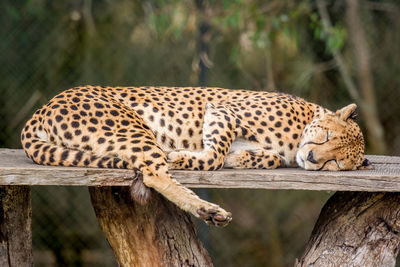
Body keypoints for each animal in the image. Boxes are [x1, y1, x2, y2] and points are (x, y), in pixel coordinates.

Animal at [20, 87, 372, 227]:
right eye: (327, 137)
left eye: (335, 163)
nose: (312, 157)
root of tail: (42, 108)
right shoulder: (222, 110)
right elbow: (214, 155)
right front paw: (183, 156)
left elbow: (262, 157)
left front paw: (243, 160)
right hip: (130, 126)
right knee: (153, 171)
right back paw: (207, 207)